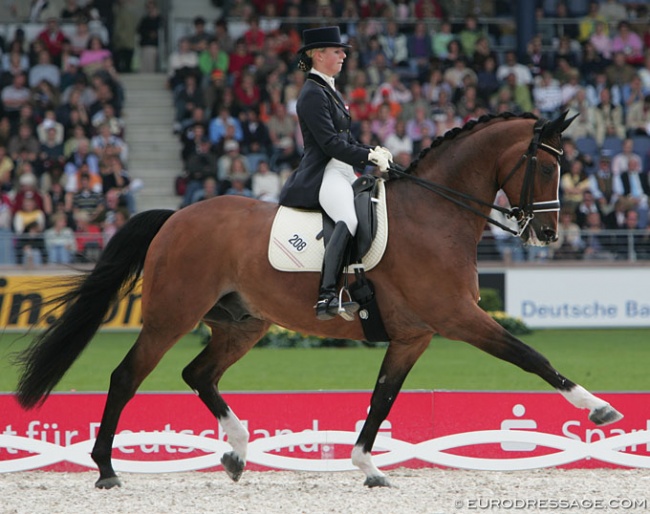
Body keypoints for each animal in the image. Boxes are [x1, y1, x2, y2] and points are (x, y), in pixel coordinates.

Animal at [15, 110, 620, 486]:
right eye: (547, 165)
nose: (549, 235)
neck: (436, 215)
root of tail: (175, 217)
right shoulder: (459, 319)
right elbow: (532, 357)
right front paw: (598, 408)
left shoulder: (414, 336)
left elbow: (382, 398)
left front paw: (368, 466)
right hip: (171, 317)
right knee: (126, 377)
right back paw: (106, 468)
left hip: (243, 323)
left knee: (199, 374)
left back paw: (237, 449)